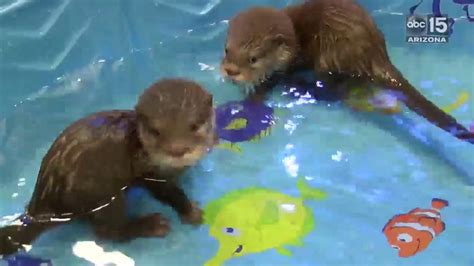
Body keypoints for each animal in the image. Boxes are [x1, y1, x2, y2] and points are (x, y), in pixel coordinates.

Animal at [0, 78, 218, 256]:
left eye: (194, 125)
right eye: (156, 131)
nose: (177, 150)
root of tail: (42, 206)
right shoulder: (148, 172)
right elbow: (168, 192)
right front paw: (190, 211)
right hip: (100, 192)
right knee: (108, 230)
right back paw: (150, 225)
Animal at [221, 0, 474, 144]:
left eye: (253, 59)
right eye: (227, 49)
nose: (231, 71)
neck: (295, 38)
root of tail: (376, 52)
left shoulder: (293, 62)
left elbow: (273, 80)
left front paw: (254, 91)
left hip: (331, 56)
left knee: (334, 92)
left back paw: (304, 87)